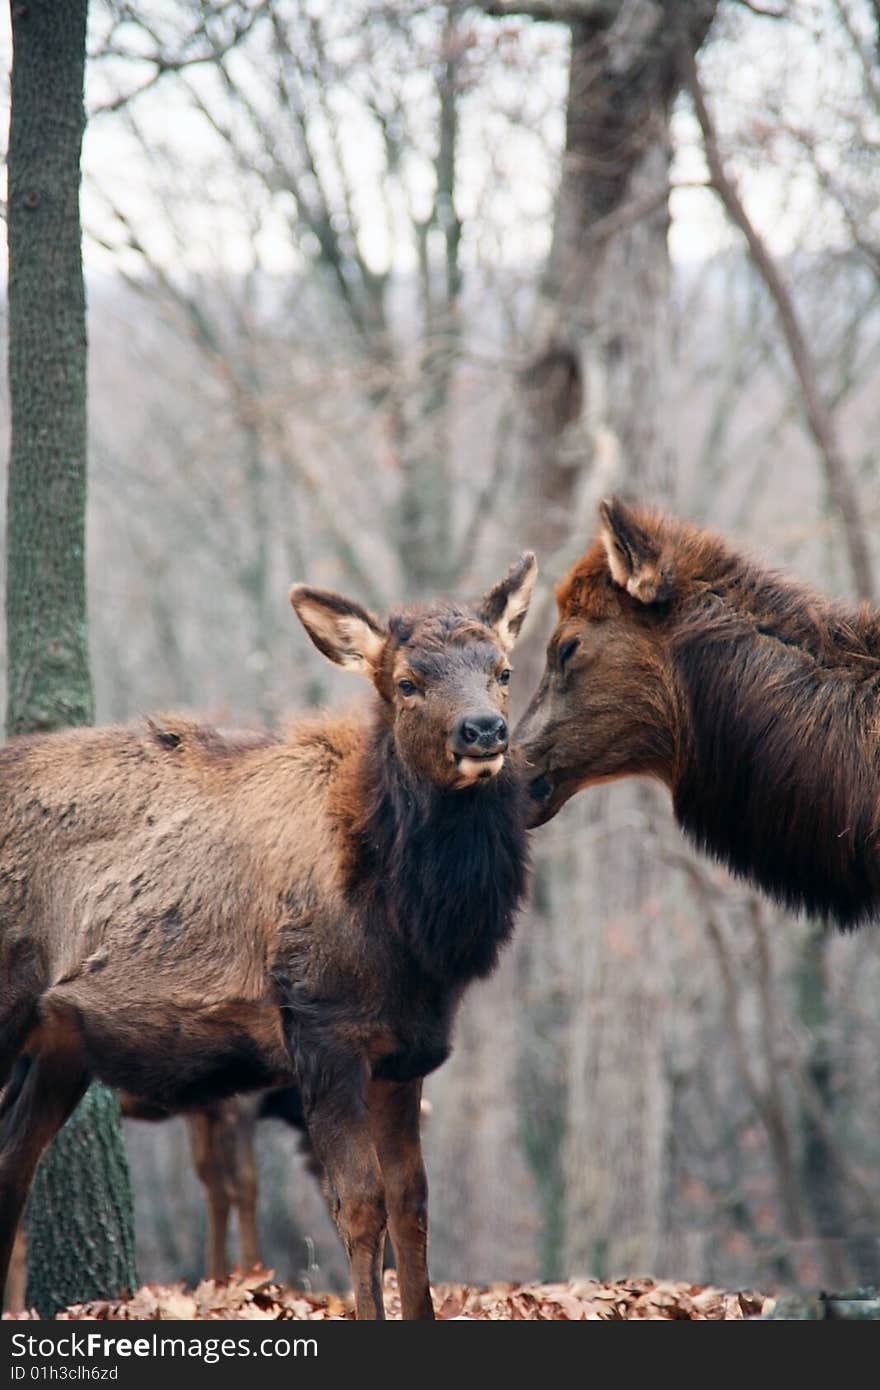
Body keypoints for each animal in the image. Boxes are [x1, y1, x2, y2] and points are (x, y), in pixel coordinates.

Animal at [0, 553, 536, 1312]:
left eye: (503, 669)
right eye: (407, 682)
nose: (483, 731)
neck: (408, 928)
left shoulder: (406, 1052)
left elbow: (413, 1203)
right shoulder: (320, 1029)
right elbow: (360, 1203)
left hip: (58, 1045)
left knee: (11, 1170)